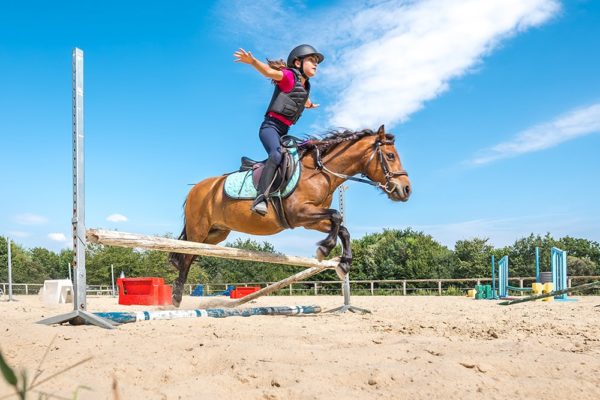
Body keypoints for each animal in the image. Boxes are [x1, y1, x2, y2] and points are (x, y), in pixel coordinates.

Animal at [171, 125, 410, 306]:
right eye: (390, 156)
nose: (406, 190)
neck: (320, 172)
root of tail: (196, 188)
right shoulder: (299, 213)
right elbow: (337, 217)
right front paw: (324, 250)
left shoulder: (310, 220)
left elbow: (342, 227)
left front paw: (343, 264)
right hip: (199, 229)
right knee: (185, 255)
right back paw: (176, 296)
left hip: (216, 233)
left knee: (190, 253)